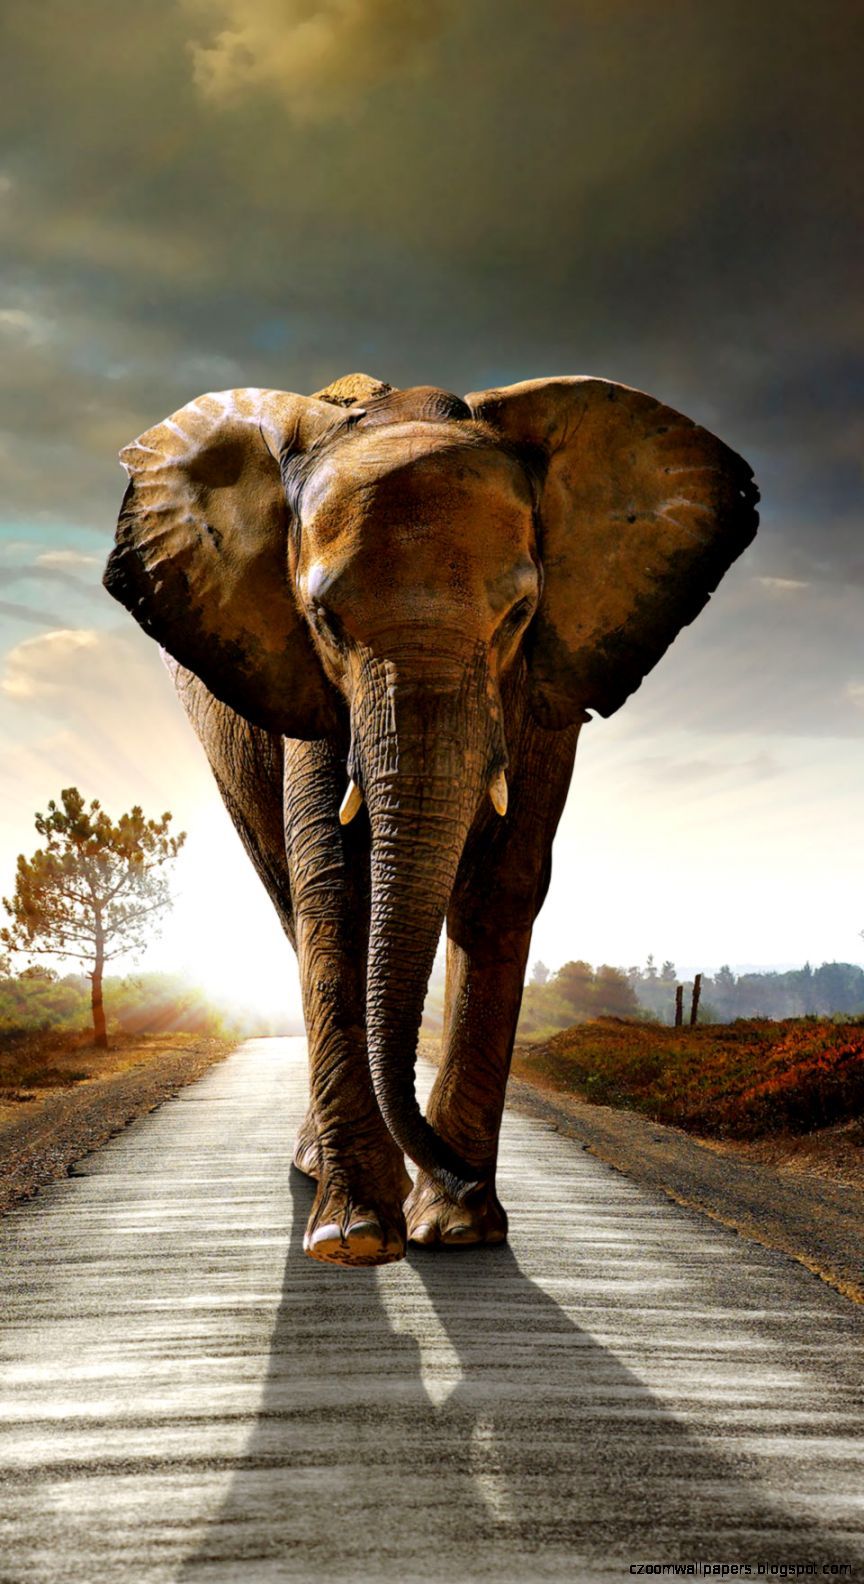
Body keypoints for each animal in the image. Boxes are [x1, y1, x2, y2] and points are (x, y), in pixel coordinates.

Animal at [104, 371, 758, 1268]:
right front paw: (355, 1238)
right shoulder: (308, 685)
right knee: (289, 899)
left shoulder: (547, 682)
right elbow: (335, 888)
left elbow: (501, 887)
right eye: (325, 621)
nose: (459, 1176)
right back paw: (323, 1176)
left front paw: (458, 1230)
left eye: (519, 615)